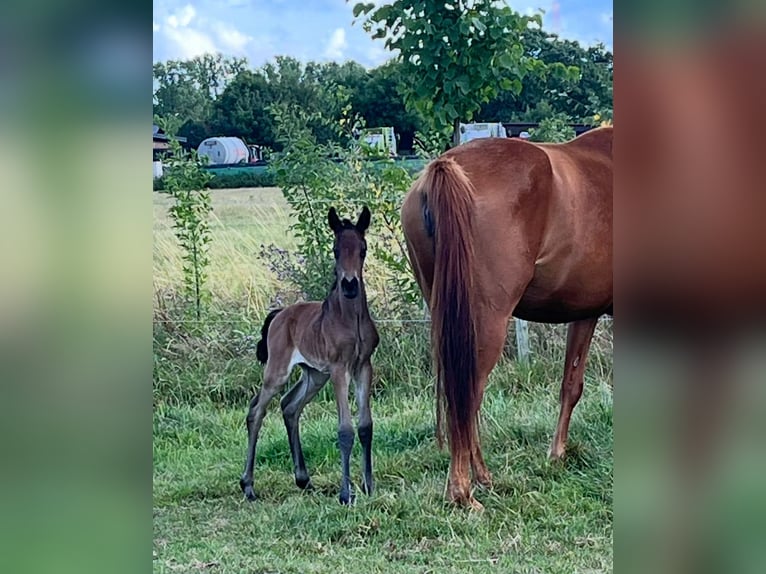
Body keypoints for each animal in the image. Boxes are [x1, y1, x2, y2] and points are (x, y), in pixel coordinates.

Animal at [240, 206, 380, 505]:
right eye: (336, 250)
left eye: (362, 249)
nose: (350, 286)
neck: (350, 319)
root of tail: (279, 314)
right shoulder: (339, 369)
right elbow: (345, 430)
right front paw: (345, 494)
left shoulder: (363, 366)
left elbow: (365, 426)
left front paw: (369, 486)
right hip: (278, 371)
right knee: (257, 410)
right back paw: (248, 485)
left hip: (314, 374)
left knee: (290, 406)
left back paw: (302, 479)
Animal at [400, 127, 613, 510]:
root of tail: (446, 167)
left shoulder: (585, 313)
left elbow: (571, 385)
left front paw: (557, 454)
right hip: (485, 323)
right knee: (467, 395)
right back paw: (463, 493)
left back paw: (483, 478)